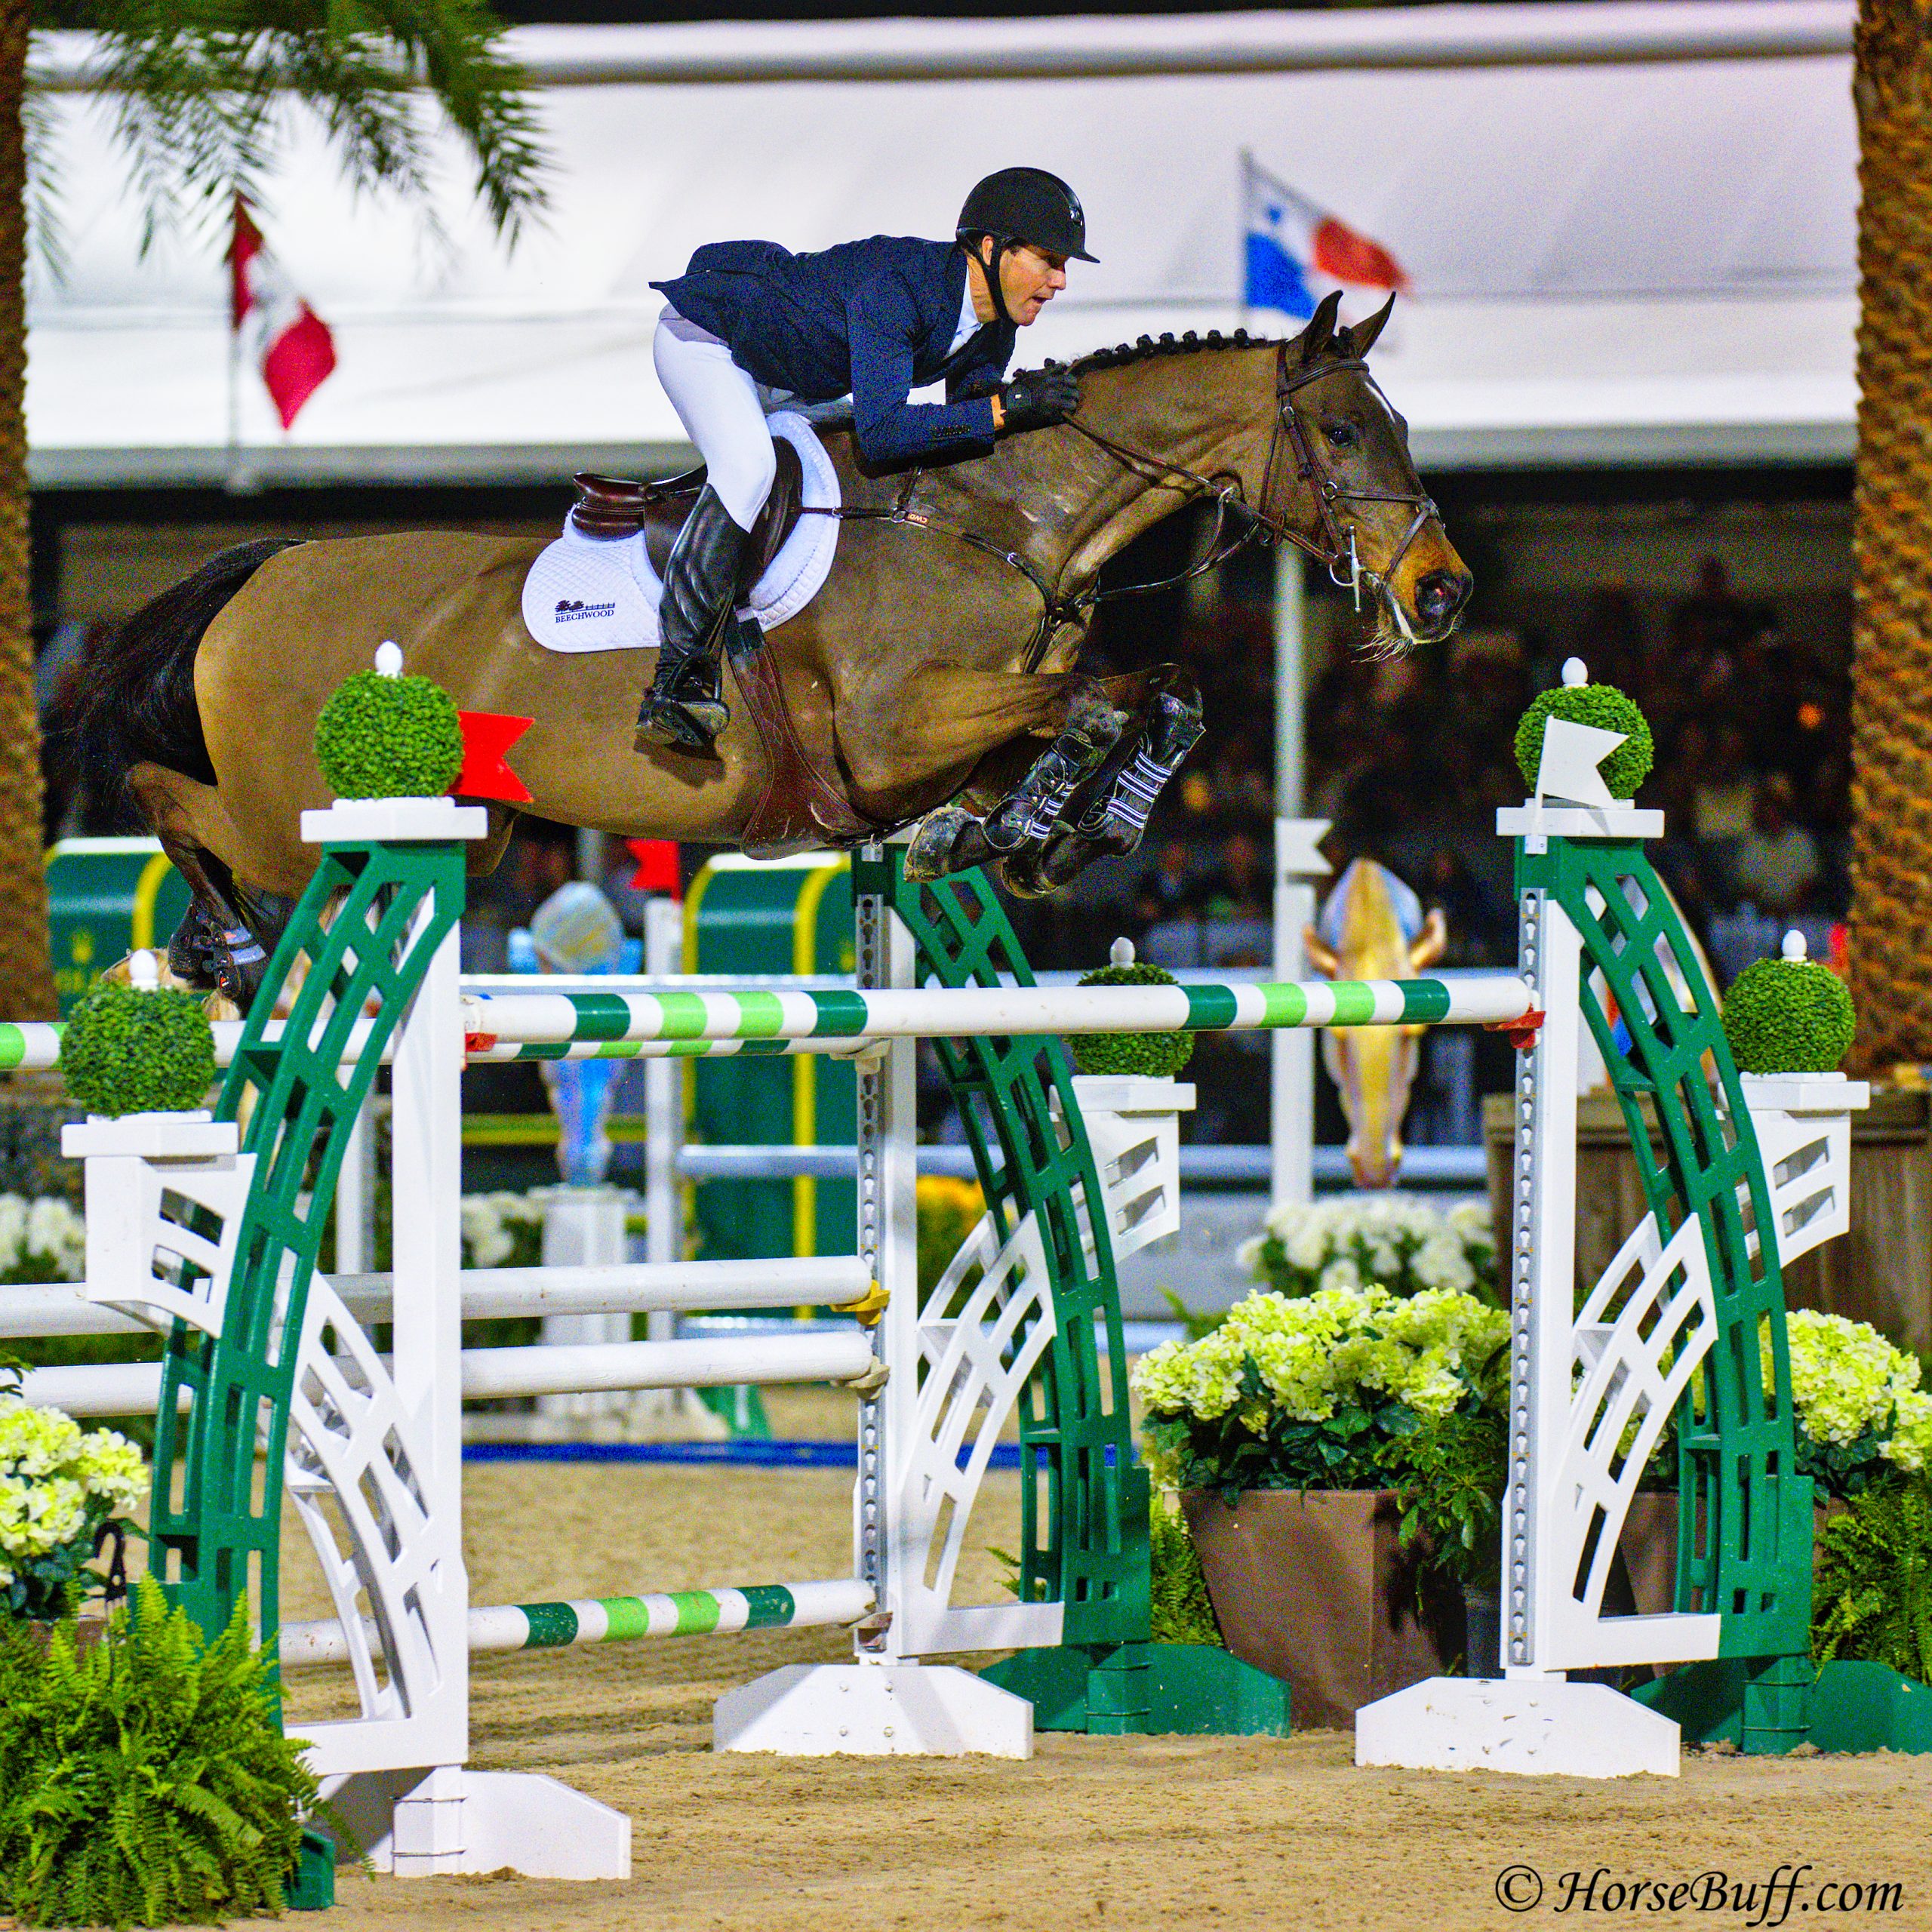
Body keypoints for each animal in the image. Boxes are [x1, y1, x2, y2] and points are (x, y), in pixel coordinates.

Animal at [68, 294, 1468, 1004]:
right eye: (1343, 433)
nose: (1444, 591)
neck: (995, 516)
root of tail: (264, 568)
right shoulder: (896, 729)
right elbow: (1090, 700)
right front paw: (1037, 829)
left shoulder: (947, 740)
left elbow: (1147, 695)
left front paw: (1043, 832)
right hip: (291, 811)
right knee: (164, 795)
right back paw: (227, 945)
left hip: (476, 826)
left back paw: (211, 950)